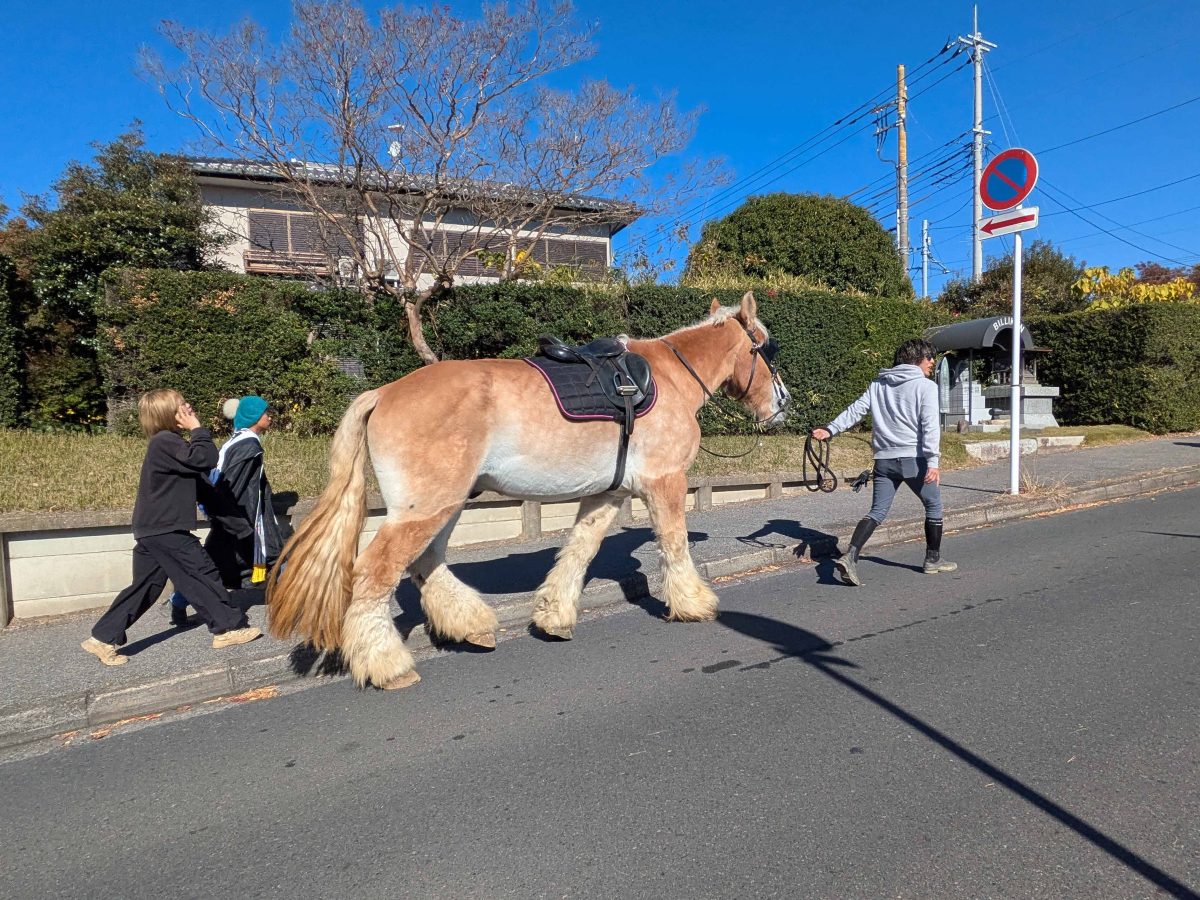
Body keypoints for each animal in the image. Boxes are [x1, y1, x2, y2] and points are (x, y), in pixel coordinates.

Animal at [266, 290, 791, 690]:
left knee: (425, 562)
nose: (782, 404)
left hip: (445, 504)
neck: (670, 378)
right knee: (376, 572)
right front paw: (693, 603)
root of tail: (384, 392)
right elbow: (674, 542)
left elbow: (579, 550)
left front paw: (554, 615)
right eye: (766, 348)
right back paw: (386, 664)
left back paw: (471, 625)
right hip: (426, 507)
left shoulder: (609, 494)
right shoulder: (665, 481)